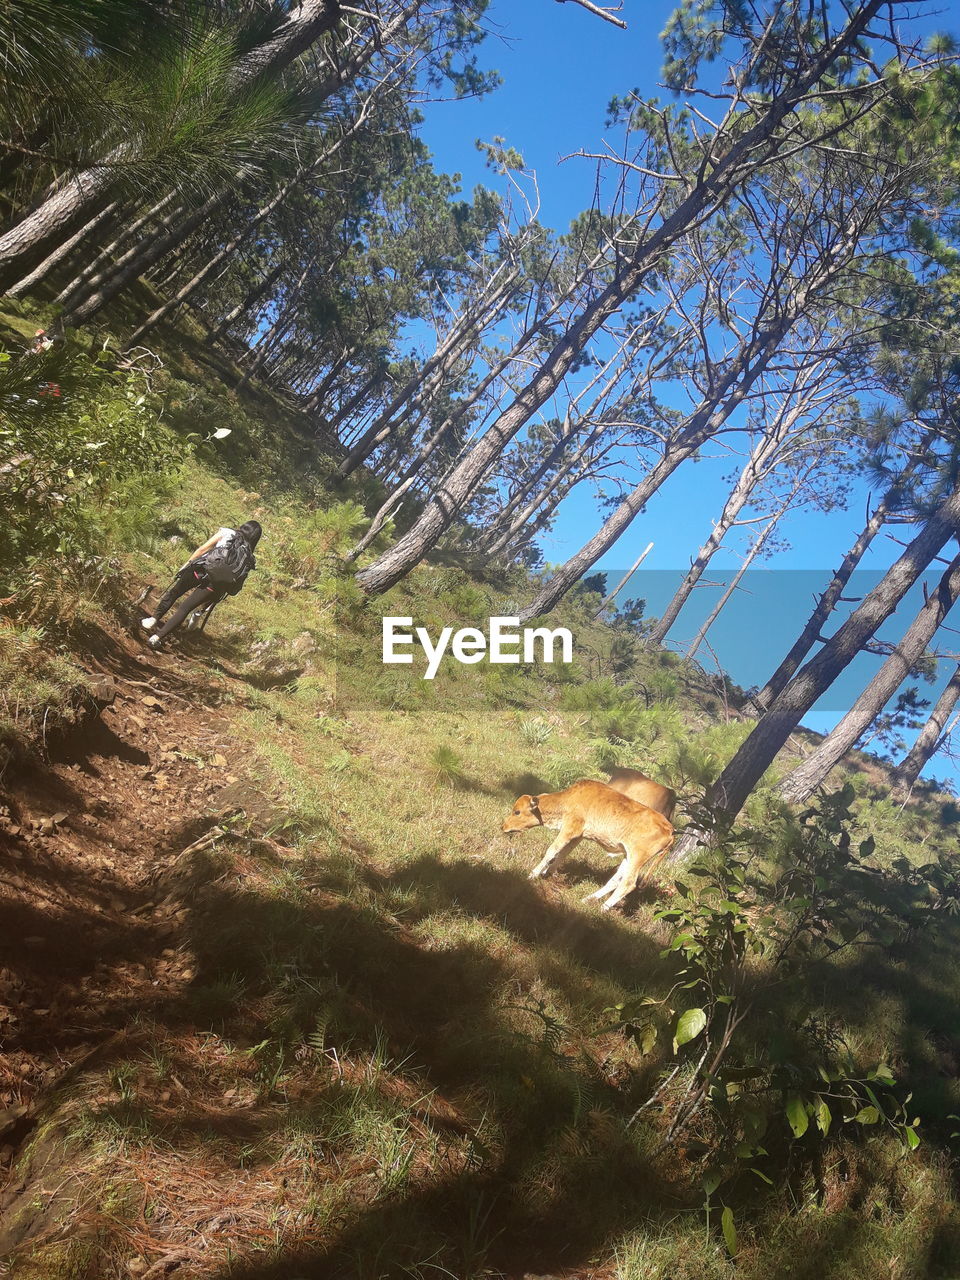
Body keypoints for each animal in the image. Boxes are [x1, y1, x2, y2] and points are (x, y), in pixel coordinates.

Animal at [504, 778, 675, 911]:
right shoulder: (578, 836)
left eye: (517, 812)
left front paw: (533, 874)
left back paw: (603, 908)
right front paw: (547, 873)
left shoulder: (569, 829)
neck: (569, 799)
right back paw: (587, 900)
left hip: (637, 858)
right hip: (628, 857)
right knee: (615, 881)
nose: (503, 826)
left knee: (628, 883)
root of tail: (670, 830)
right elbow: (563, 853)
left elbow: (552, 851)